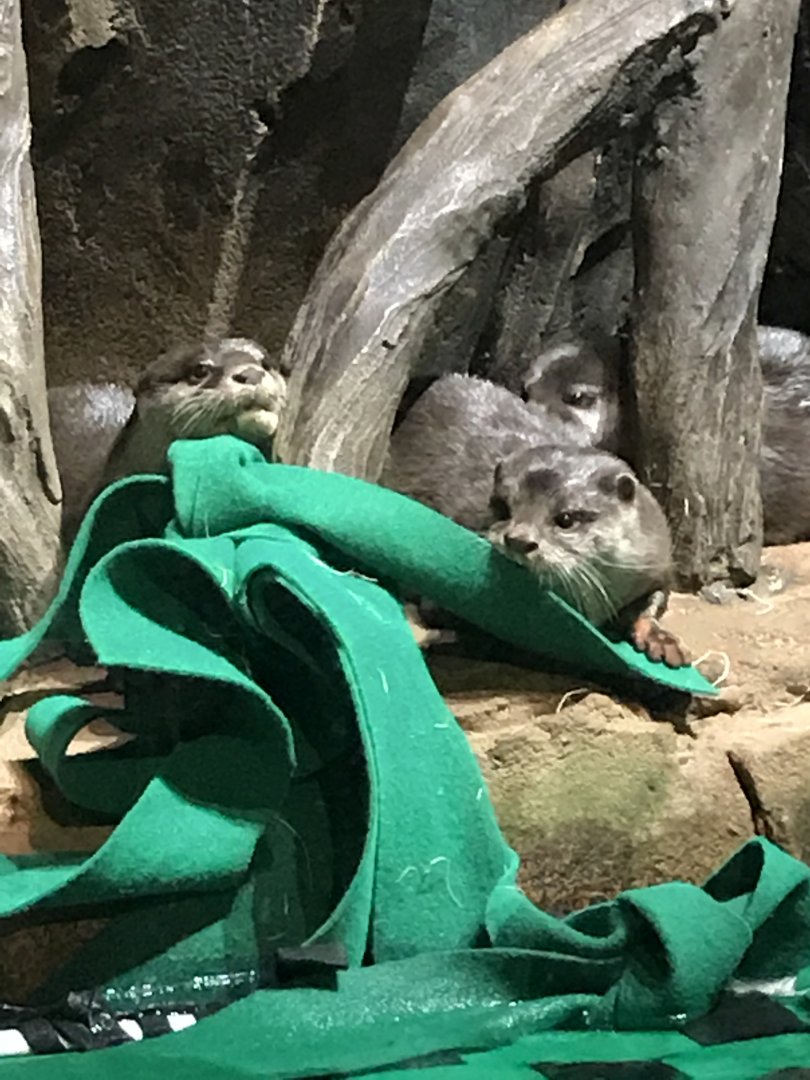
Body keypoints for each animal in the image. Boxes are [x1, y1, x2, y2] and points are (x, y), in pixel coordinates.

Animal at [382, 374, 686, 667]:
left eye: (565, 518)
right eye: (503, 508)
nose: (518, 540)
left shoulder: (654, 557)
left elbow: (657, 597)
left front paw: (661, 639)